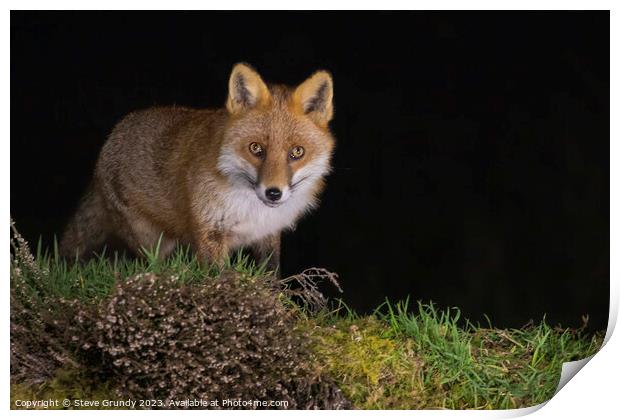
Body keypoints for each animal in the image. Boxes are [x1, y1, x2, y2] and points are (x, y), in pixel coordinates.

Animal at [59, 64, 334, 270]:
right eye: (256, 148)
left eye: (297, 152)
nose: (273, 192)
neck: (250, 209)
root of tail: (111, 136)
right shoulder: (209, 232)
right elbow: (219, 278)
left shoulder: (268, 234)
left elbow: (270, 275)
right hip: (152, 241)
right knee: (156, 265)